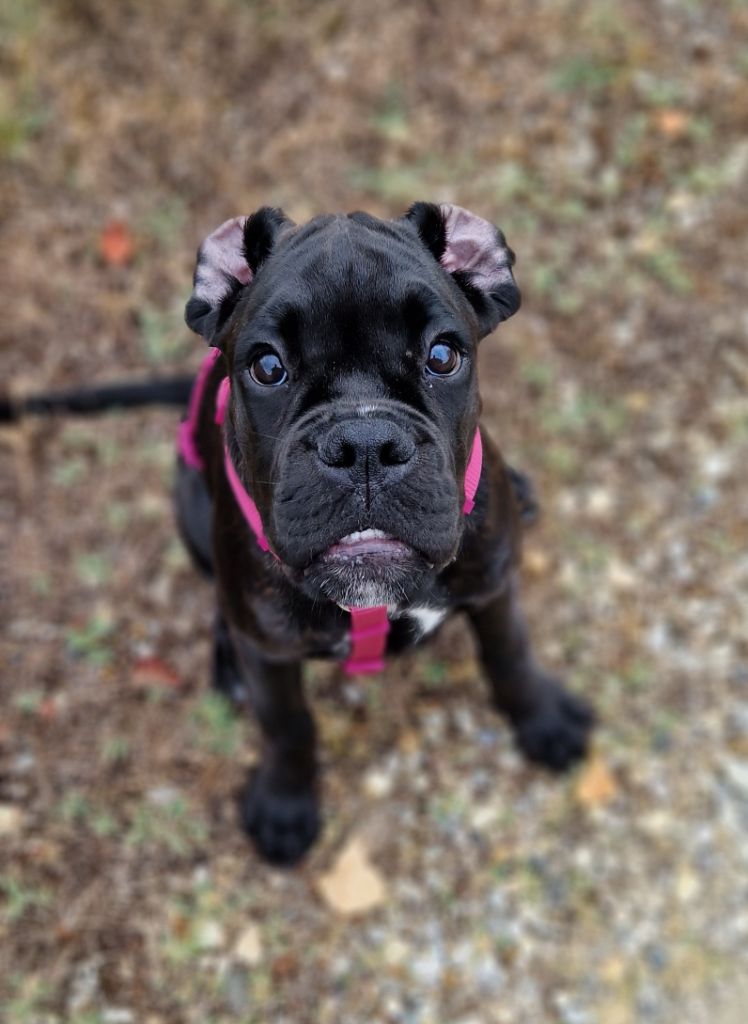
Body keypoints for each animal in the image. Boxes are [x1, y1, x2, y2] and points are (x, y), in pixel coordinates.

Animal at [170, 202, 595, 865]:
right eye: (267, 366)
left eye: (443, 356)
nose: (364, 444)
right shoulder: (271, 653)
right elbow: (288, 726)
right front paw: (285, 804)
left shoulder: (495, 587)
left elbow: (510, 653)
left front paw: (544, 720)